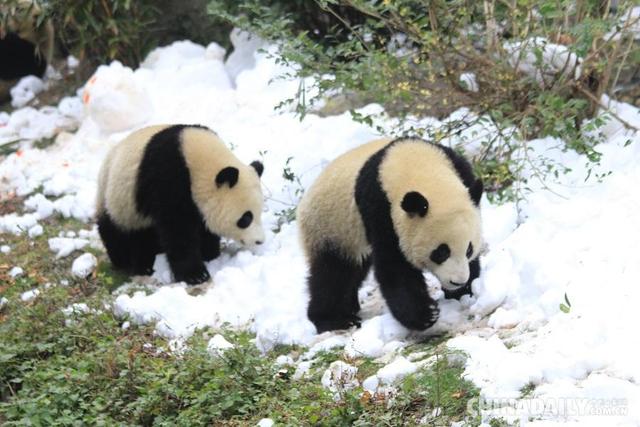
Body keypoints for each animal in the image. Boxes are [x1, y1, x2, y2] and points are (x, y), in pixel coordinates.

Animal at [95, 123, 264, 284]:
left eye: (259, 214)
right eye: (246, 218)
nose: (260, 241)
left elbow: (204, 227)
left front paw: (210, 254)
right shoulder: (167, 178)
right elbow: (178, 230)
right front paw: (196, 275)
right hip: (119, 200)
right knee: (117, 232)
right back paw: (133, 263)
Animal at [298, 139, 482, 332]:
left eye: (469, 249)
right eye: (441, 252)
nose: (458, 281)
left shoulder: (461, 172)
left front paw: (465, 292)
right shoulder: (380, 211)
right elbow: (394, 266)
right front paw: (426, 314)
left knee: (354, 268)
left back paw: (350, 307)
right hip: (329, 228)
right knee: (333, 273)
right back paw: (335, 319)